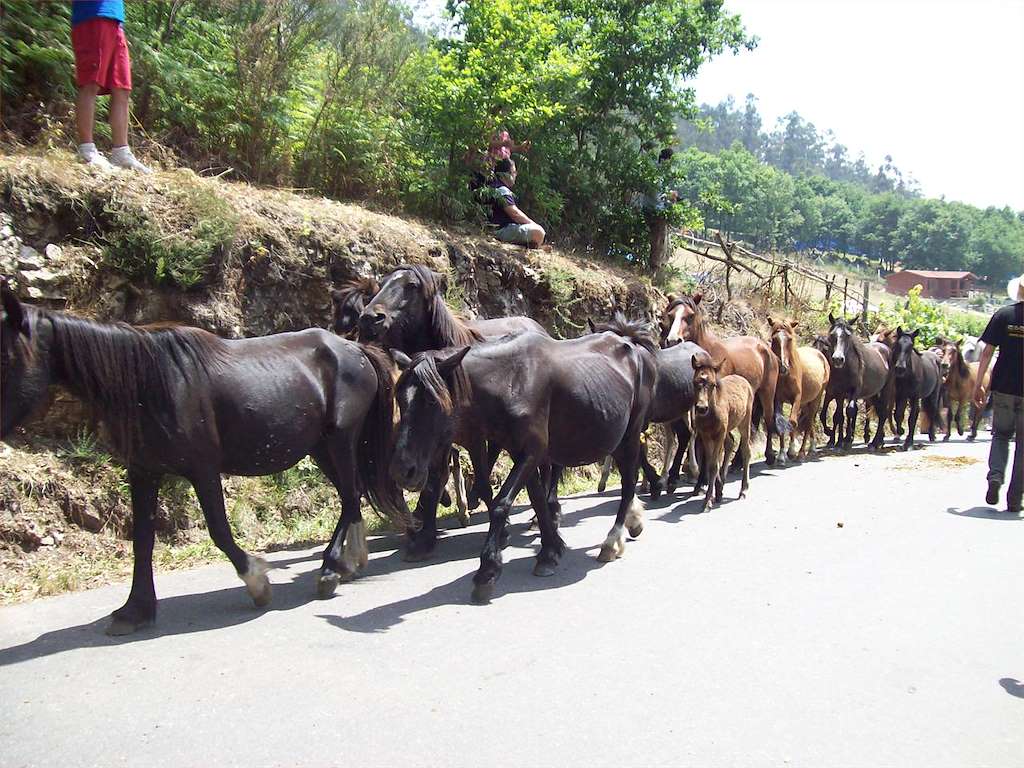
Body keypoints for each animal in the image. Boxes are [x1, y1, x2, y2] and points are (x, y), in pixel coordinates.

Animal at [0, 282, 407, 638]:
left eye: (7, 356)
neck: (152, 382)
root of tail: (356, 349)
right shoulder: (143, 472)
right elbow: (143, 540)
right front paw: (135, 609)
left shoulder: (203, 470)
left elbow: (219, 532)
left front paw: (257, 581)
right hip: (321, 448)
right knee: (351, 496)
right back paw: (350, 562)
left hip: (340, 440)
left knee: (351, 497)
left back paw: (331, 570)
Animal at [387, 315, 659, 606]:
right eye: (400, 399)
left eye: (432, 401)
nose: (403, 471)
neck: (511, 380)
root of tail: (629, 341)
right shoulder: (521, 452)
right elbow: (537, 500)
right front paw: (550, 551)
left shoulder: (532, 451)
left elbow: (501, 503)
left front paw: (487, 571)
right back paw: (632, 519)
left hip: (630, 433)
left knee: (629, 482)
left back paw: (613, 540)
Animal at [659, 292, 786, 462]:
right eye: (670, 315)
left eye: (690, 316)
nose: (673, 340)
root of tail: (766, 348)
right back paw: (737, 461)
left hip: (767, 393)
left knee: (768, 419)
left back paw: (769, 455)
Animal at [770, 319, 831, 462]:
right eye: (774, 339)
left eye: (790, 339)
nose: (783, 367)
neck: (787, 375)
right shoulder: (778, 400)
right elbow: (780, 423)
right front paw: (781, 455)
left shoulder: (796, 398)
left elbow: (793, 422)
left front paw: (792, 451)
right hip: (805, 402)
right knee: (809, 419)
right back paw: (812, 447)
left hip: (816, 398)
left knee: (809, 421)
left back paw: (803, 452)